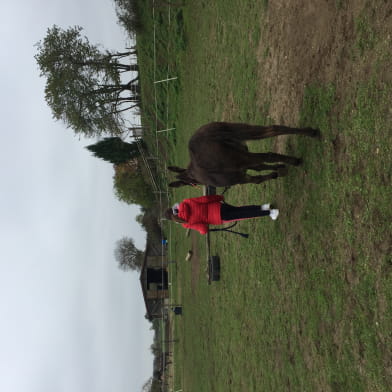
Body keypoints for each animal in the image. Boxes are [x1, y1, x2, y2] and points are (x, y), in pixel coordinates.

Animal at [167, 121, 320, 188]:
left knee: (268, 155)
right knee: (273, 129)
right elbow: (261, 166)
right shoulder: (245, 163)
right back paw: (310, 132)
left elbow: (258, 179)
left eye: (188, 183)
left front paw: (277, 172)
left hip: (237, 155)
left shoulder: (240, 178)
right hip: (240, 131)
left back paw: (295, 161)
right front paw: (279, 168)